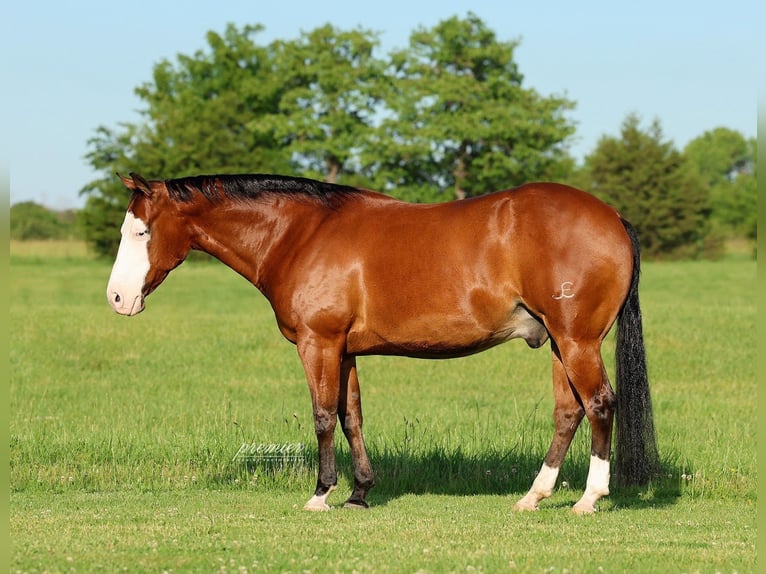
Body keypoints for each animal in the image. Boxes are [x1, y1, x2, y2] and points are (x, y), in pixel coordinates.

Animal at [106, 172, 659, 513]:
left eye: (141, 232)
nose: (116, 298)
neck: (300, 233)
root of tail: (612, 217)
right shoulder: (345, 350)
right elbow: (351, 416)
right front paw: (359, 492)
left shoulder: (318, 344)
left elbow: (323, 416)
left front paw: (321, 495)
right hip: (560, 344)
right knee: (569, 412)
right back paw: (534, 496)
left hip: (577, 340)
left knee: (600, 404)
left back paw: (589, 498)